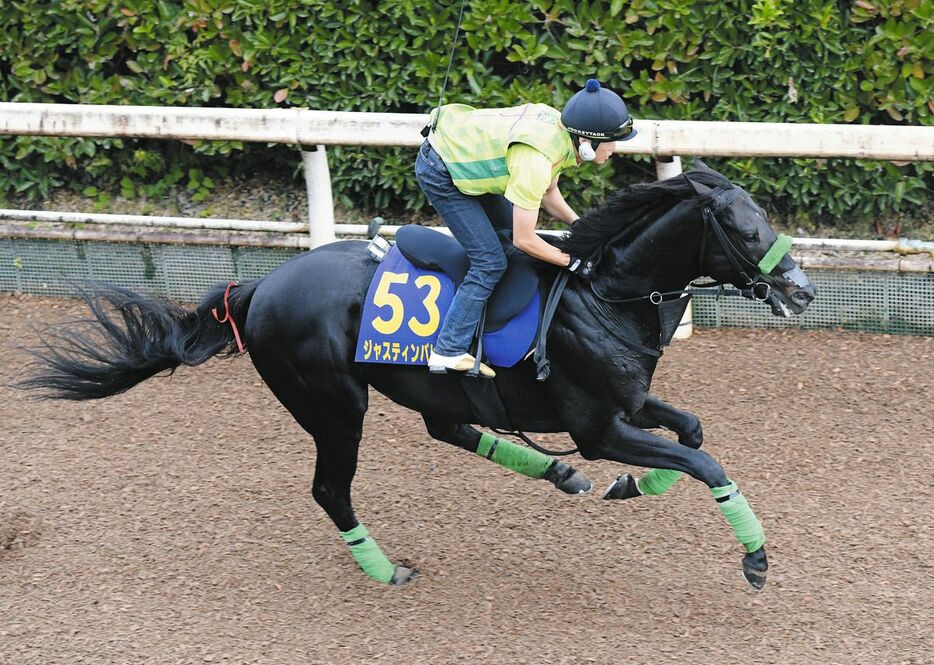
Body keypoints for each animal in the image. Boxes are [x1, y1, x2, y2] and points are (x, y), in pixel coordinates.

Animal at [20, 163, 812, 588]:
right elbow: (704, 459)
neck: (600, 293)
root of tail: (260, 288)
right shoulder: (595, 425)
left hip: (415, 385)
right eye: (746, 229)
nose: (802, 290)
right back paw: (383, 569)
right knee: (331, 487)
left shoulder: (629, 402)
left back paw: (557, 474)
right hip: (335, 406)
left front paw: (632, 483)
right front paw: (755, 559)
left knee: (450, 426)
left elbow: (691, 432)